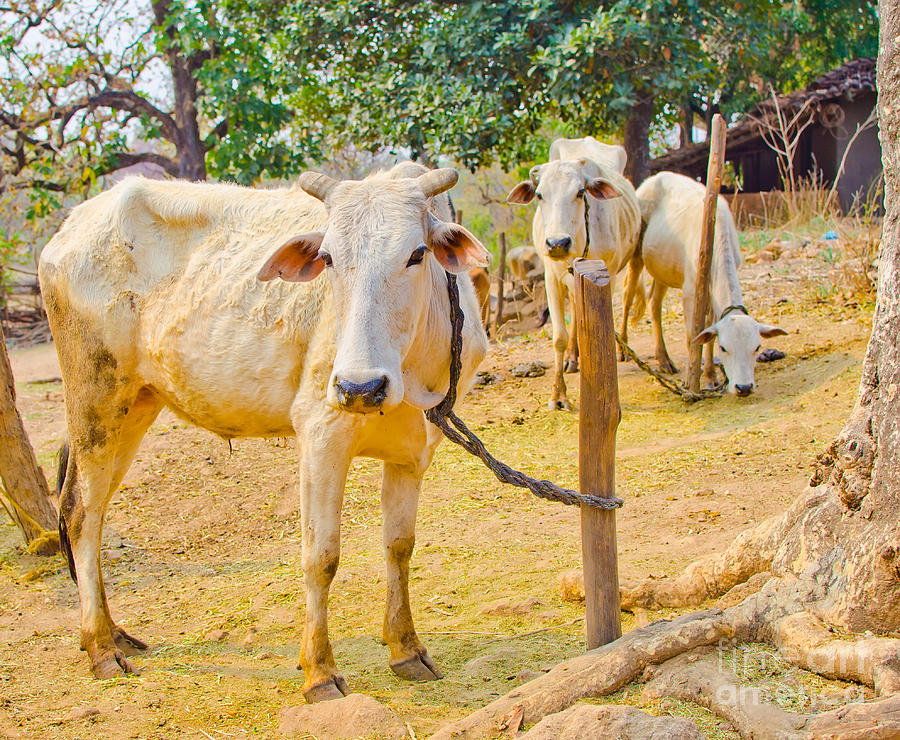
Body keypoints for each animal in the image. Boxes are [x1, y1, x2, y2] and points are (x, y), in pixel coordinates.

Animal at [37, 162, 492, 700]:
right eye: (328, 258)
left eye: (417, 254)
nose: (360, 386)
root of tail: (69, 229)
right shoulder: (320, 433)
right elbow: (321, 557)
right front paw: (320, 673)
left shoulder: (413, 452)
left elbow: (399, 547)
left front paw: (407, 649)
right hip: (95, 397)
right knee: (80, 514)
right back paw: (101, 648)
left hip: (134, 406)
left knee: (91, 511)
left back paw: (115, 634)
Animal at [510, 137, 644, 410]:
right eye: (539, 195)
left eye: (581, 192)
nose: (558, 243)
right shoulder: (551, 277)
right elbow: (559, 337)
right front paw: (558, 395)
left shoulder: (608, 274)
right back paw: (572, 357)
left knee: (627, 300)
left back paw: (622, 348)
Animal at [632, 171, 788, 396]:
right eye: (725, 348)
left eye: (757, 347)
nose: (744, 387)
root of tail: (653, 179)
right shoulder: (690, 291)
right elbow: (693, 336)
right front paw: (692, 379)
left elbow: (709, 335)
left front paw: (710, 377)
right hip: (635, 254)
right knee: (628, 295)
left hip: (663, 267)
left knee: (654, 302)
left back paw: (664, 360)